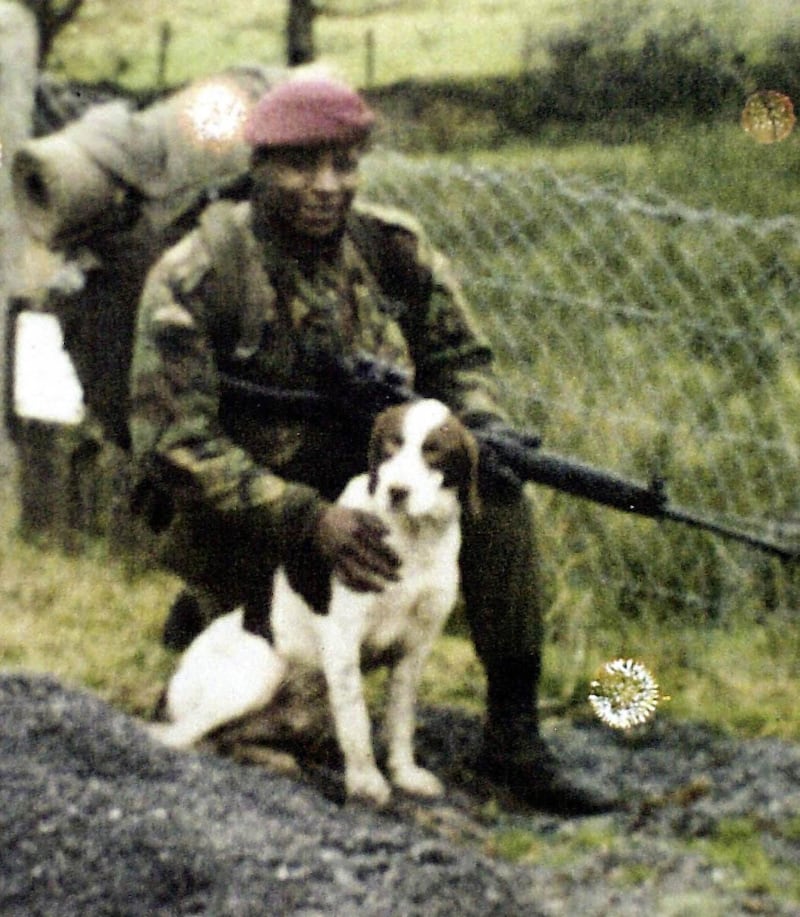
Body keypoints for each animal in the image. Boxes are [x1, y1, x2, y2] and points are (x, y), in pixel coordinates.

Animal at [152, 398, 482, 804]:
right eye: (392, 443)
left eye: (434, 450)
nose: (396, 491)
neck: (413, 540)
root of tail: (168, 688)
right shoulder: (344, 638)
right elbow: (356, 721)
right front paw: (366, 782)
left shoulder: (415, 647)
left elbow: (401, 720)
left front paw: (404, 774)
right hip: (262, 669)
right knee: (179, 736)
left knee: (225, 737)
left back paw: (274, 758)